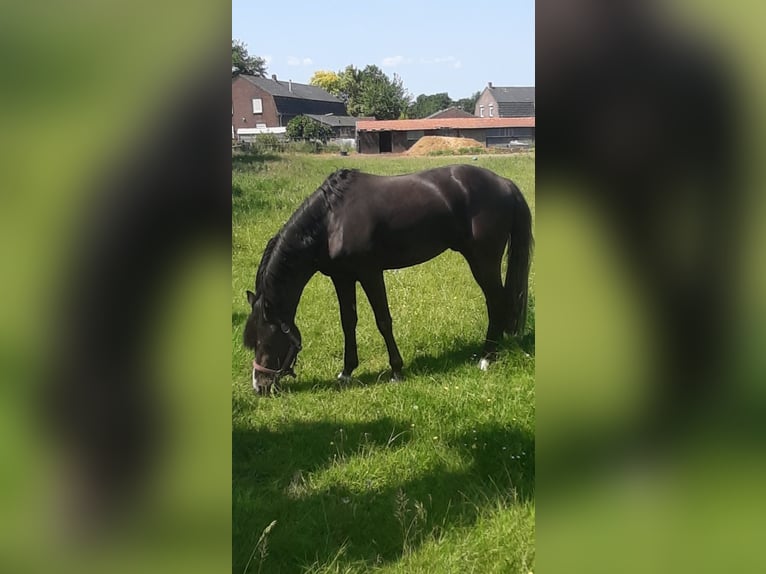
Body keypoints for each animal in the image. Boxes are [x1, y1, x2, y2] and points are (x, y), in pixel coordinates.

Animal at [246, 164, 536, 394]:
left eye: (265, 339)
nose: (259, 386)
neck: (332, 220)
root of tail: (505, 183)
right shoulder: (342, 277)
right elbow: (348, 322)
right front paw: (347, 372)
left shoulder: (370, 273)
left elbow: (383, 321)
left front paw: (396, 371)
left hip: (483, 261)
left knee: (496, 302)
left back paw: (487, 357)